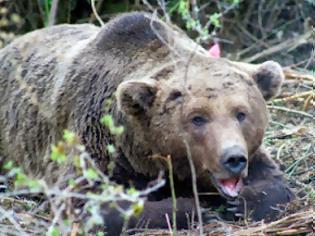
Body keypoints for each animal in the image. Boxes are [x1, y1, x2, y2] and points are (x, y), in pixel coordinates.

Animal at [0, 11, 294, 234]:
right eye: (197, 118)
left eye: (241, 113)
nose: (233, 158)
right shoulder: (97, 138)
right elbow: (87, 200)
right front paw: (194, 210)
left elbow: (277, 183)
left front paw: (243, 202)